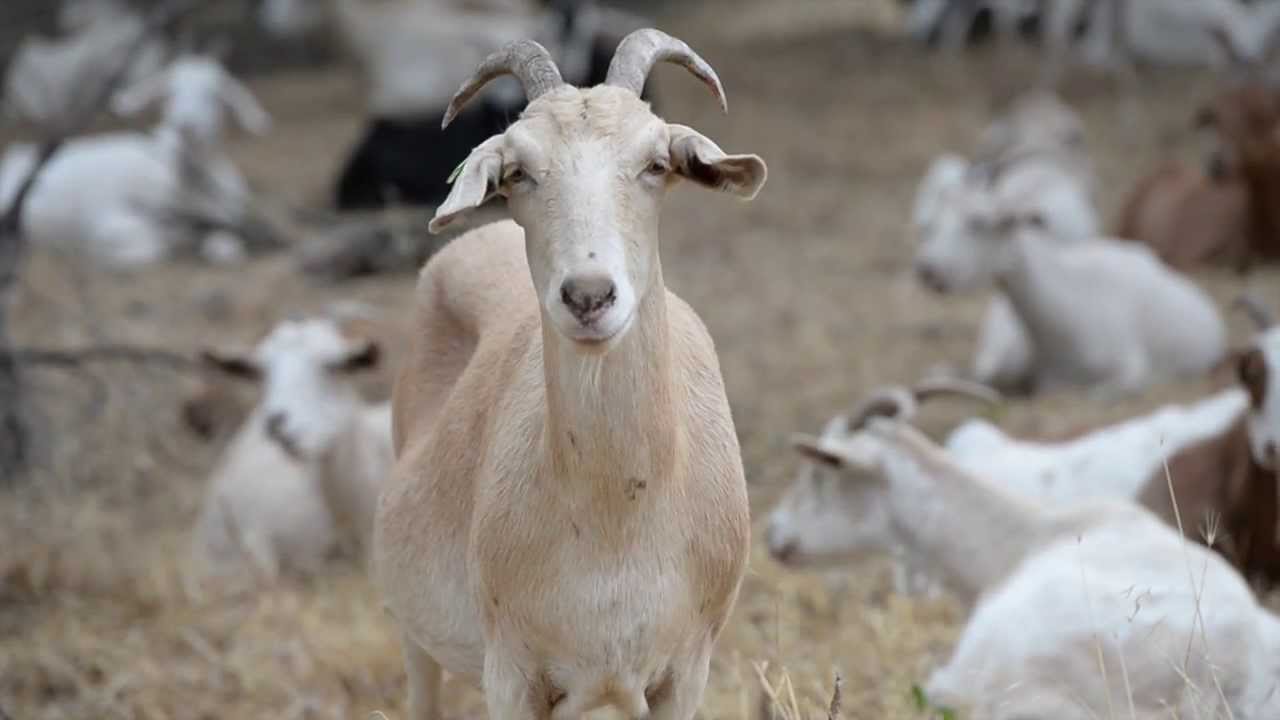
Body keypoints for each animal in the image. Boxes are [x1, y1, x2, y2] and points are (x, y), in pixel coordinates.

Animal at [0, 52, 271, 269]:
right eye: (169, 93)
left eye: (213, 94)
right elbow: (155, 245)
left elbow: (226, 247)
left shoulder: (225, 221)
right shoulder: (109, 224)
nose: (184, 125)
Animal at [373, 30, 766, 719]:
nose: (588, 295)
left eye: (656, 162)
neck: (617, 517)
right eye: (517, 170)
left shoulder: (685, 671)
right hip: (415, 635)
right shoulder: (513, 674)